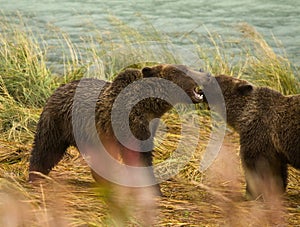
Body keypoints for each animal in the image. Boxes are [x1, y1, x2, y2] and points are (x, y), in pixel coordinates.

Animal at [28, 64, 211, 193]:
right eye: (185, 70)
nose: (207, 74)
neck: (149, 105)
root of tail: (58, 88)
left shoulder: (148, 126)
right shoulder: (130, 125)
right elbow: (139, 156)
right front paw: (153, 188)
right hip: (58, 123)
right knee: (46, 149)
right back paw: (35, 175)